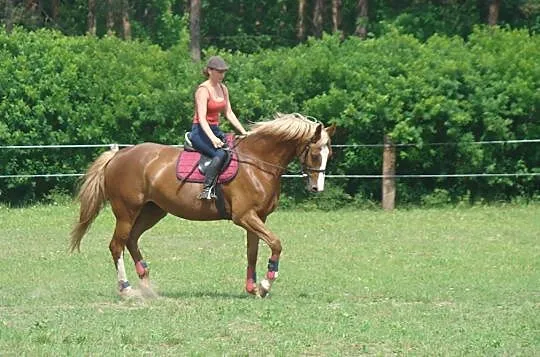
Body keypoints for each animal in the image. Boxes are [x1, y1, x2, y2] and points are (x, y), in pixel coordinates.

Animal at [69, 112, 336, 296]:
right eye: (315, 154)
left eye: (329, 154)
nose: (317, 188)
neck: (257, 162)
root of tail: (119, 155)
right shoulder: (245, 216)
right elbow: (276, 243)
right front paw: (266, 282)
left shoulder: (257, 217)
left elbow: (253, 251)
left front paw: (253, 288)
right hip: (127, 212)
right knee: (117, 245)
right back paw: (126, 288)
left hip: (153, 211)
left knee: (132, 239)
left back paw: (146, 281)